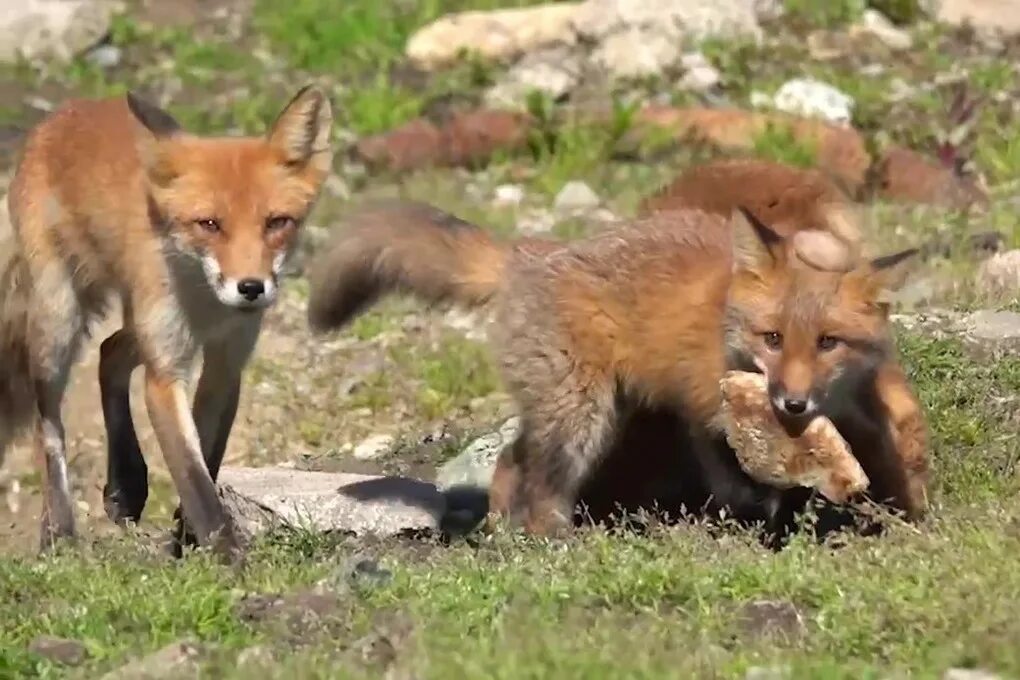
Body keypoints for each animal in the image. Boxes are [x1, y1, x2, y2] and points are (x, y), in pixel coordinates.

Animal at [1, 85, 332, 562]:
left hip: (137, 324)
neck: (207, 305)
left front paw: (187, 539)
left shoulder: (225, 362)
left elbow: (208, 457)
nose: (251, 288)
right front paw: (229, 559)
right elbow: (194, 479)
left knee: (110, 352)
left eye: (277, 223)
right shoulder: (165, 373)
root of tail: (65, 112)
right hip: (58, 323)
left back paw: (124, 484)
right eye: (209, 224)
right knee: (48, 427)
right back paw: (59, 528)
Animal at [306, 201, 930, 538]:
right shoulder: (708, 410)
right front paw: (761, 518)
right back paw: (552, 544)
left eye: (828, 343)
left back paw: (505, 537)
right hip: (583, 419)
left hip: (592, 411)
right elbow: (741, 482)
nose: (793, 403)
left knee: (510, 464)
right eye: (772, 339)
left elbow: (892, 455)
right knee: (539, 484)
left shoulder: (858, 405)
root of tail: (528, 253)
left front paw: (907, 513)